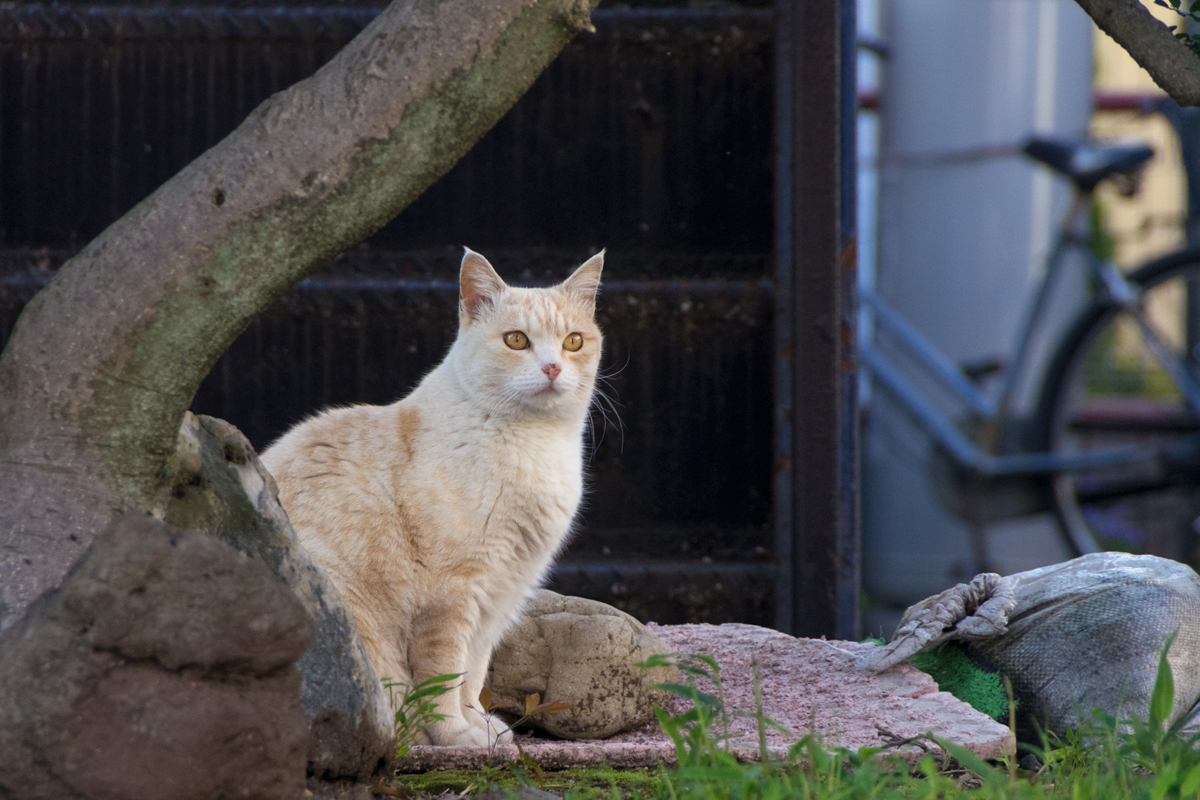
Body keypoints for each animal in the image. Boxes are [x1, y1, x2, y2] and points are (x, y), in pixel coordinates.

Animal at [259, 247, 604, 748]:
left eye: (574, 342)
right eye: (516, 340)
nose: (552, 368)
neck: (535, 444)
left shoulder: (501, 589)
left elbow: (473, 672)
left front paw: (481, 727)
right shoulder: (451, 591)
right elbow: (444, 674)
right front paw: (454, 734)